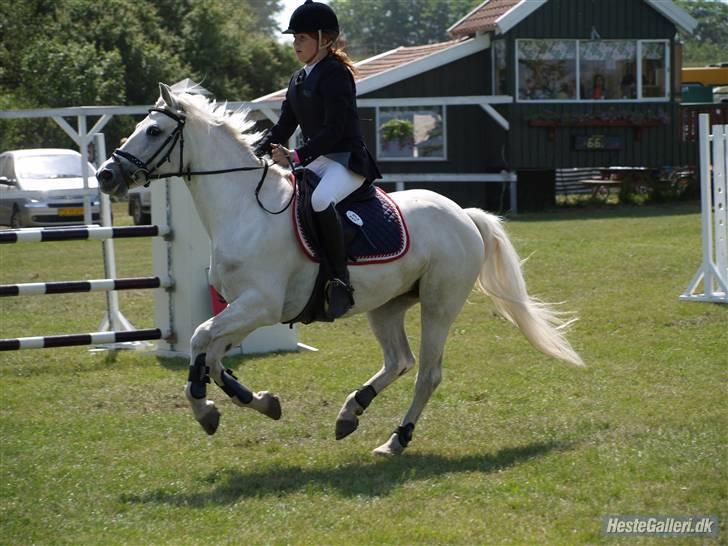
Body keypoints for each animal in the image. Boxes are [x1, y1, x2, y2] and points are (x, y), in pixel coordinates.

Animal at [98, 83, 584, 452]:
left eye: (154, 130)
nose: (106, 176)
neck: (243, 208)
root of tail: (463, 214)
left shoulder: (260, 305)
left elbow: (201, 340)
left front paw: (204, 408)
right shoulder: (243, 309)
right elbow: (212, 355)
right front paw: (258, 401)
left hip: (439, 305)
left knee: (426, 372)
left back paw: (396, 440)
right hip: (386, 306)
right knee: (399, 361)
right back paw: (351, 412)